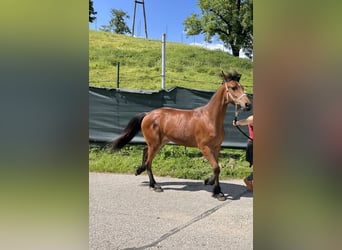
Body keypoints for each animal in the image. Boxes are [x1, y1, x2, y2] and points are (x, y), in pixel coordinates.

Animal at [109, 70, 251, 199]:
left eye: (243, 87)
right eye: (233, 87)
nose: (248, 104)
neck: (209, 119)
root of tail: (148, 114)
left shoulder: (216, 148)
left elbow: (217, 168)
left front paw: (215, 189)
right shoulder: (204, 147)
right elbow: (216, 168)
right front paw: (212, 187)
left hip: (159, 143)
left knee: (145, 152)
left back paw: (141, 171)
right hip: (155, 144)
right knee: (149, 162)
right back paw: (154, 186)